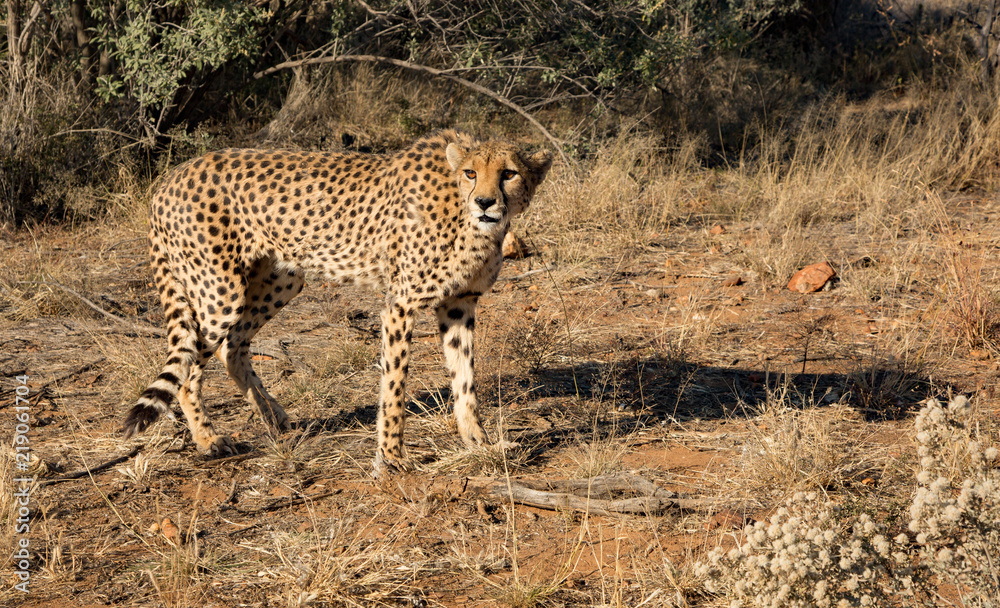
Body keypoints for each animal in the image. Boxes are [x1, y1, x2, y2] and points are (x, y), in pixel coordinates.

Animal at [122, 129, 553, 475]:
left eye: (509, 173)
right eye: (470, 173)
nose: (485, 202)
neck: (465, 217)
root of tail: (169, 177)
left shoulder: (459, 303)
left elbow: (465, 380)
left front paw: (479, 443)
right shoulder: (399, 304)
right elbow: (394, 384)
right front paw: (391, 458)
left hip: (283, 278)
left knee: (233, 346)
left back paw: (274, 416)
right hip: (219, 291)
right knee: (190, 365)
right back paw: (209, 440)